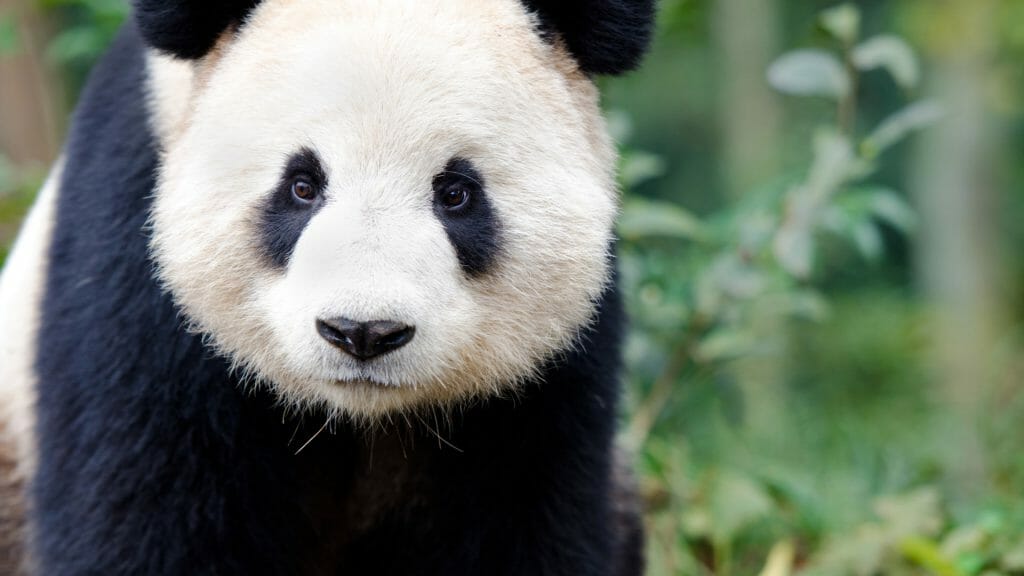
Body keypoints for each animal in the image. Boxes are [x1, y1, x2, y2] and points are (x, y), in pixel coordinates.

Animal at [0, 0, 654, 574]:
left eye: (456, 193)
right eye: (302, 185)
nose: (363, 333)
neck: (355, 416)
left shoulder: (544, 390)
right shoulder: (134, 291)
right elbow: (140, 513)